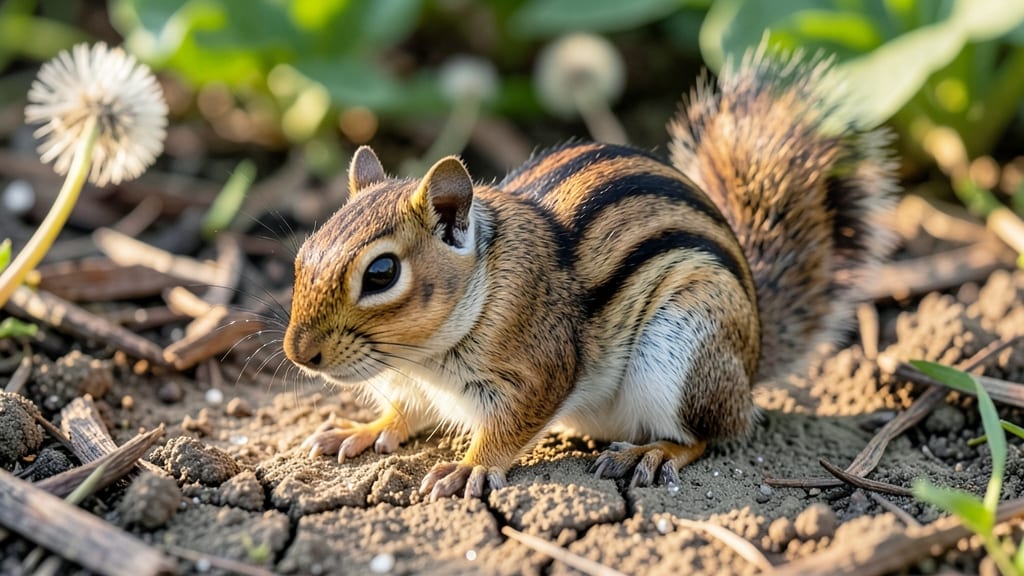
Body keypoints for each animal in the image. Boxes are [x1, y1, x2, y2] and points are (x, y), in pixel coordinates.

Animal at [282, 42, 897, 500]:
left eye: (381, 273)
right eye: (303, 253)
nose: (298, 354)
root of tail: (753, 355)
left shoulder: (539, 367)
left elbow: (510, 426)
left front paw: (470, 466)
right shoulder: (409, 383)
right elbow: (404, 411)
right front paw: (364, 430)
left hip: (684, 352)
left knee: (709, 434)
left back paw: (652, 452)